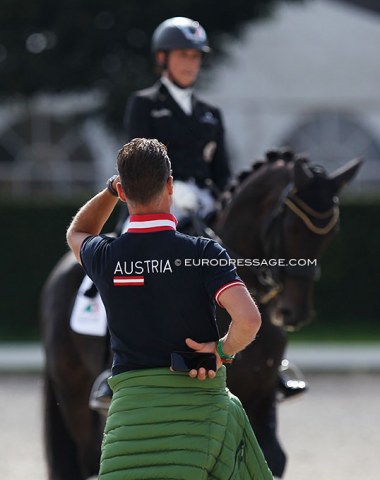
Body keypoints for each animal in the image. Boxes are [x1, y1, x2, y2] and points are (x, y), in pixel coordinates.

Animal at [40, 148, 364, 478]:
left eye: (332, 232)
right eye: (292, 227)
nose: (294, 312)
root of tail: (61, 269)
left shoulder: (262, 396)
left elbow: (272, 457)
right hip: (73, 392)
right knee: (89, 455)